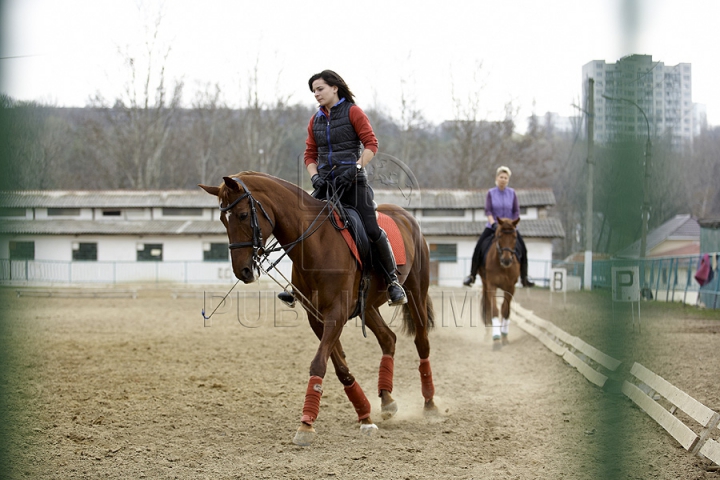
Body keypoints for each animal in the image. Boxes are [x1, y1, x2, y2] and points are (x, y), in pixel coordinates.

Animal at [197, 172, 436, 446]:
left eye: (243, 215)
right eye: (222, 220)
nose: (243, 271)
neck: (317, 244)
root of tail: (406, 215)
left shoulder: (336, 313)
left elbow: (319, 363)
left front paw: (306, 424)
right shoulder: (316, 316)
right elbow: (340, 367)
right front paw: (364, 415)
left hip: (416, 291)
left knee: (422, 342)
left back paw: (430, 403)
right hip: (368, 305)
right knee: (388, 338)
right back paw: (386, 399)